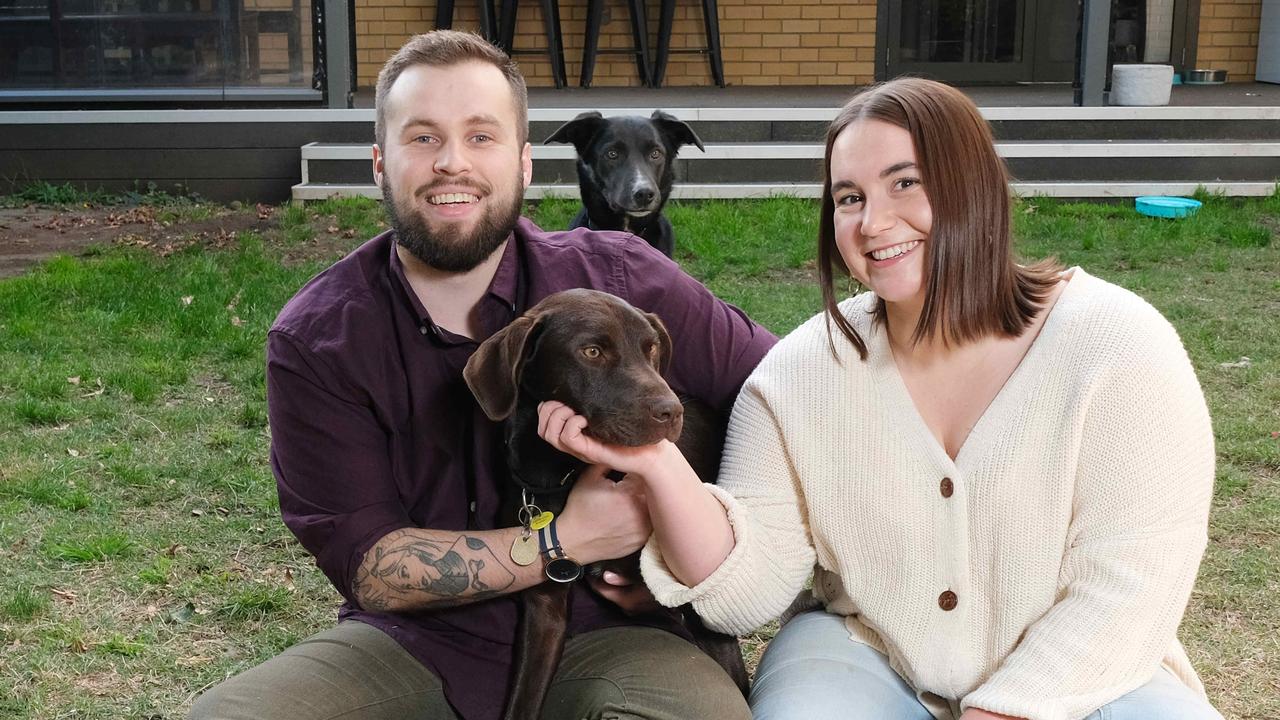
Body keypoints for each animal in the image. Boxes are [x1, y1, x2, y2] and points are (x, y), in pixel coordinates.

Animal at [465, 286, 747, 717]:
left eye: (651, 349)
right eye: (592, 351)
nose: (671, 412)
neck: (558, 474)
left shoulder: (707, 610)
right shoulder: (544, 608)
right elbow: (524, 700)